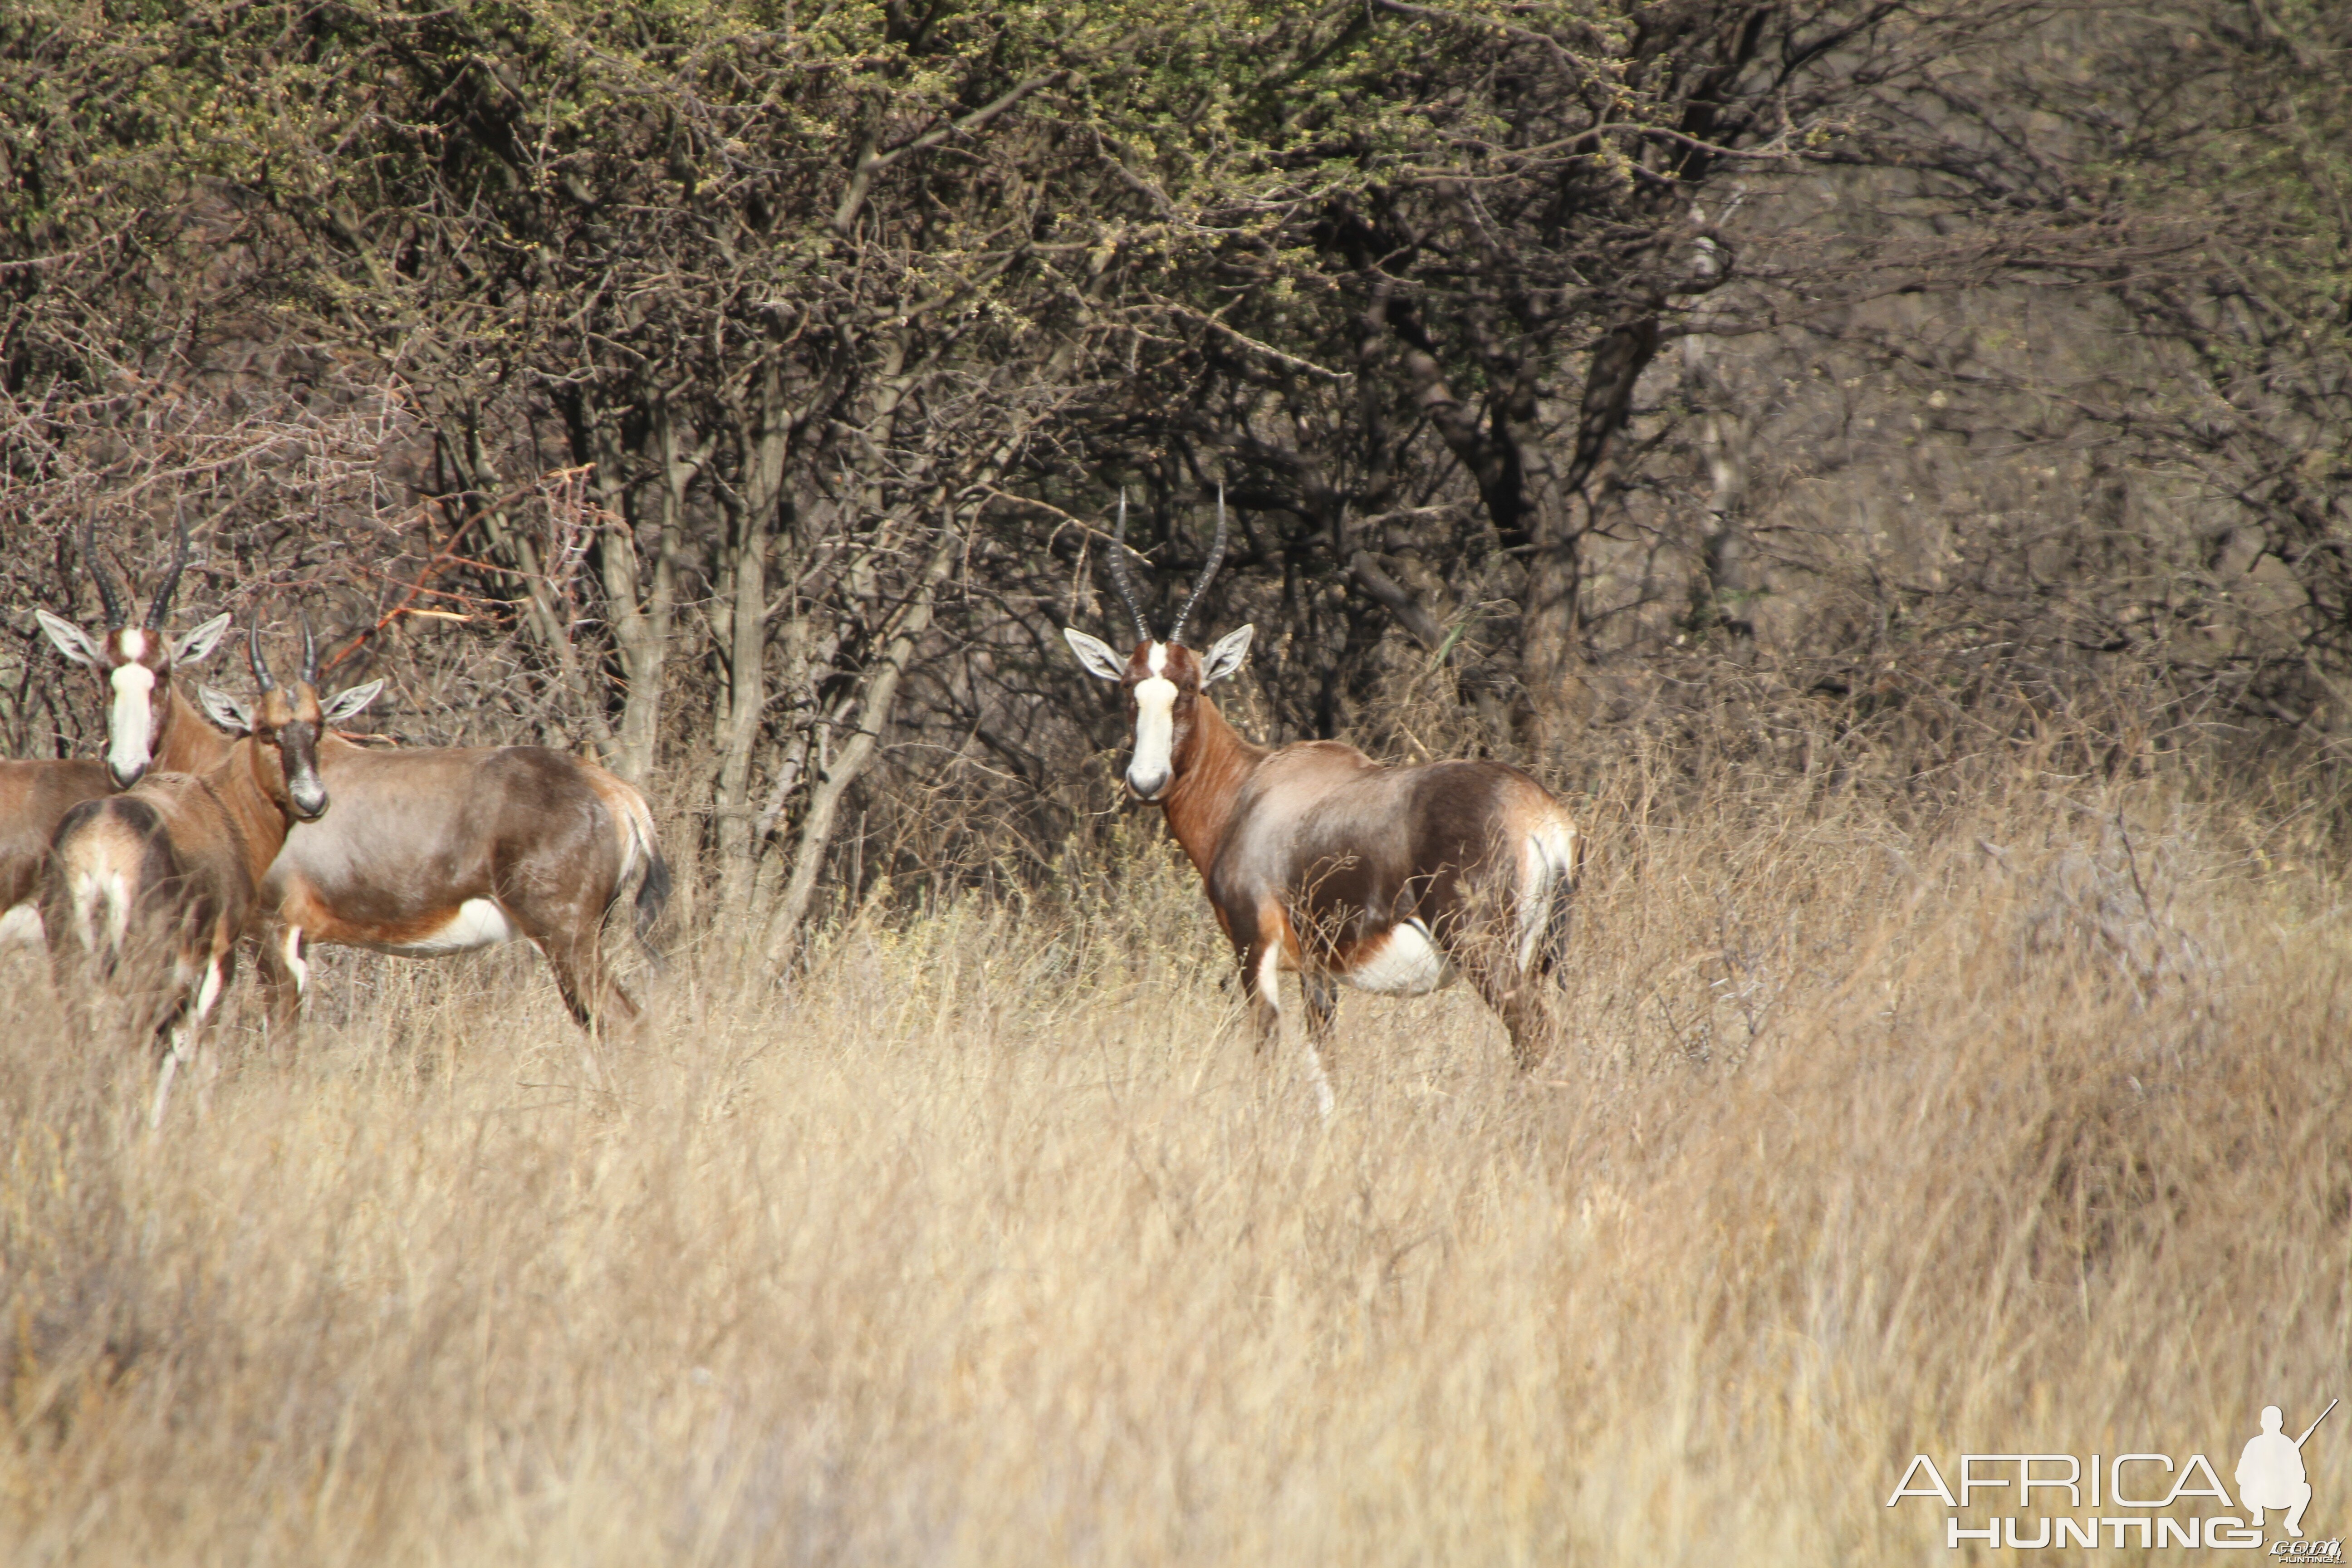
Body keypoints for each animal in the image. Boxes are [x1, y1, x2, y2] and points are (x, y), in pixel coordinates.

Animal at [42, 620, 376, 1123]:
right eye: (265, 730)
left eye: (317, 727)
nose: (313, 801)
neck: (215, 802)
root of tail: (102, 843)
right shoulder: (220, 957)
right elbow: (197, 1051)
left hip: (72, 962)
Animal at [1068, 484, 1580, 1109]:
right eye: (1128, 688)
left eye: (1190, 687)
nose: (1145, 781)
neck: (1252, 788)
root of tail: (1540, 817)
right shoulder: (1317, 971)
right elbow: (1325, 1069)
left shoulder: (1255, 950)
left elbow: (1267, 1050)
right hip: (1539, 954)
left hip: (1484, 952)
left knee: (1535, 1034)